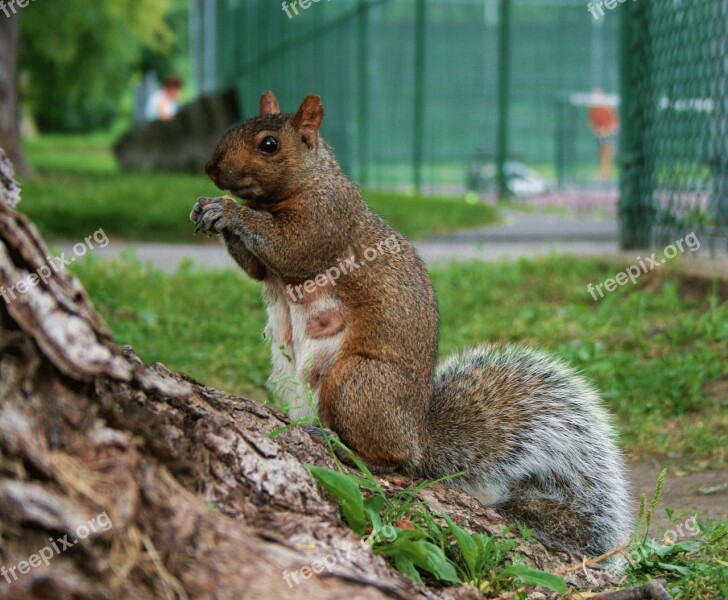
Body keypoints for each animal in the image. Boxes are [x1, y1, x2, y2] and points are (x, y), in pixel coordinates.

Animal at [189, 91, 632, 556]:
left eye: (269, 145)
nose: (211, 169)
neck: (304, 182)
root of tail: (418, 437)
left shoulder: (328, 220)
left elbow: (293, 247)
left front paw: (228, 210)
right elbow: (258, 268)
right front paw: (205, 209)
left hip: (357, 382)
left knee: (393, 460)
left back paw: (346, 448)